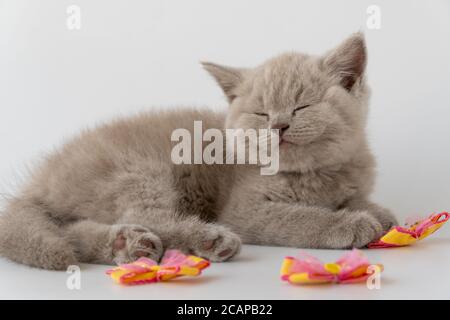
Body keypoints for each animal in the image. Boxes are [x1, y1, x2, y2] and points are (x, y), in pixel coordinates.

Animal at [0, 32, 396, 268]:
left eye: (302, 106)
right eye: (261, 113)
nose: (278, 125)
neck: (315, 174)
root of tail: (41, 179)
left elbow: (358, 200)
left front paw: (380, 214)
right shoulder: (245, 210)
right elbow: (300, 218)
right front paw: (351, 223)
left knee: (73, 231)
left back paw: (125, 244)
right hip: (138, 171)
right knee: (152, 217)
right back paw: (207, 238)